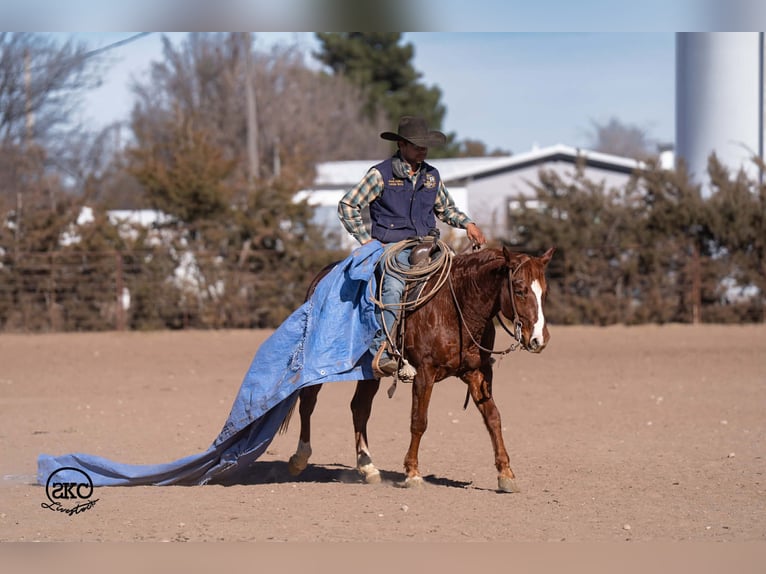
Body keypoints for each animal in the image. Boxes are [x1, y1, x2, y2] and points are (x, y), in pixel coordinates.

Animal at [285, 244, 555, 492]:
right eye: (519, 290)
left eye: (544, 292)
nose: (540, 340)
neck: (456, 306)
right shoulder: (425, 372)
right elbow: (419, 421)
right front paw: (412, 473)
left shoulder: (478, 373)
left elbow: (493, 418)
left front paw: (506, 474)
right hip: (318, 361)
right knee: (308, 402)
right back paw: (300, 458)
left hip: (370, 371)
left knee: (359, 408)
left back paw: (368, 467)